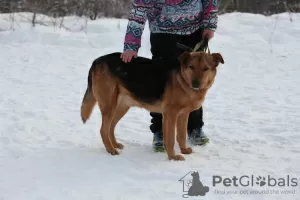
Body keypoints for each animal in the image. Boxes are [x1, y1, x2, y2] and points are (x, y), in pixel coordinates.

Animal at [81, 47, 224, 161]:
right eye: (191, 67)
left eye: (206, 69)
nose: (196, 84)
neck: (182, 79)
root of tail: (97, 60)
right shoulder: (170, 115)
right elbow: (170, 139)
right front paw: (173, 157)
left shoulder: (183, 115)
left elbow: (182, 135)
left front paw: (184, 150)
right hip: (110, 106)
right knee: (103, 130)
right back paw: (110, 149)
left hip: (122, 106)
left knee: (110, 127)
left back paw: (115, 144)